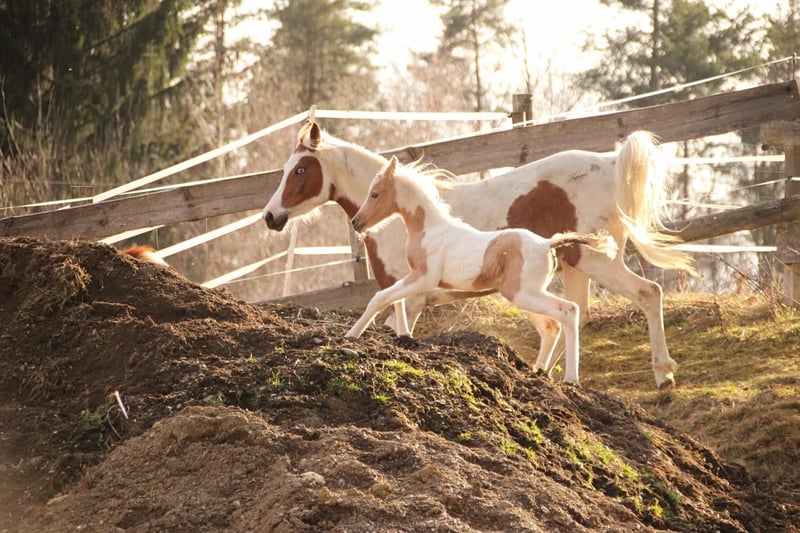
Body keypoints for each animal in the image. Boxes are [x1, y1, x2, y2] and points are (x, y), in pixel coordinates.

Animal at [347, 156, 618, 383]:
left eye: (375, 194)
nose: (356, 222)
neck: (429, 228)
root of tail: (546, 244)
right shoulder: (416, 279)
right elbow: (397, 300)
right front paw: (403, 337)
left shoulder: (424, 277)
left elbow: (380, 297)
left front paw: (351, 335)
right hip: (527, 294)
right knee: (557, 321)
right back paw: (542, 372)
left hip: (521, 294)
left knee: (568, 311)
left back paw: (570, 378)